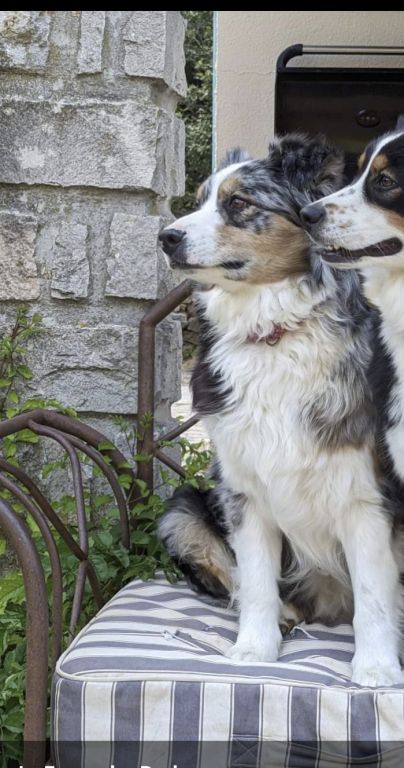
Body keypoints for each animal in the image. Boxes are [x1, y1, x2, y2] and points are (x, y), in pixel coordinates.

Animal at [159, 135, 404, 688]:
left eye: (239, 202)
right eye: (200, 201)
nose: (166, 237)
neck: (274, 333)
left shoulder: (365, 495)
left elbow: (375, 595)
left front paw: (376, 667)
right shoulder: (242, 489)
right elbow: (254, 580)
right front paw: (254, 650)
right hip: (183, 510)